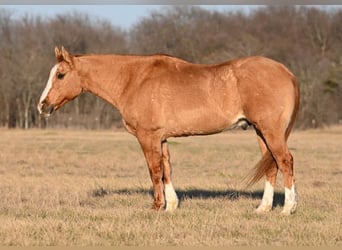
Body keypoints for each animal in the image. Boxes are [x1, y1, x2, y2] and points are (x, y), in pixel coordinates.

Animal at [36, 47, 300, 215]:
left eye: (61, 75)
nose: (42, 106)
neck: (133, 79)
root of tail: (286, 72)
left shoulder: (148, 137)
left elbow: (154, 171)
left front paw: (156, 206)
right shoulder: (161, 138)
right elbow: (166, 170)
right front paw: (171, 205)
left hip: (271, 131)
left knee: (285, 161)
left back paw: (288, 208)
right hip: (261, 133)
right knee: (272, 166)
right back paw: (263, 208)